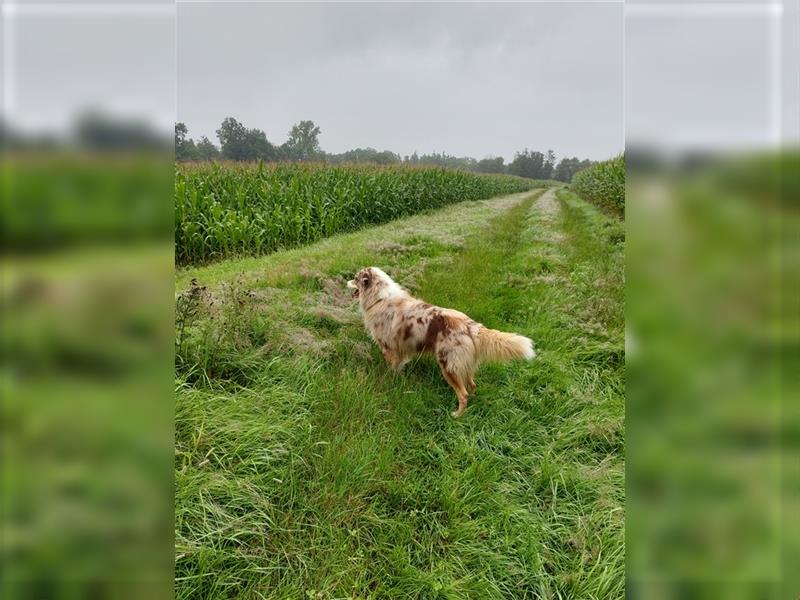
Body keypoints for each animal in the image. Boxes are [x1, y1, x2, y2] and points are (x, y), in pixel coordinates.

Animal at [346, 268, 536, 418]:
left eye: (355, 278)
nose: (346, 282)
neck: (379, 298)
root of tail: (470, 325)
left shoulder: (389, 348)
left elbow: (392, 367)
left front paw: (390, 380)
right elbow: (400, 365)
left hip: (448, 366)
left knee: (463, 394)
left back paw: (457, 415)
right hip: (462, 364)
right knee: (472, 385)